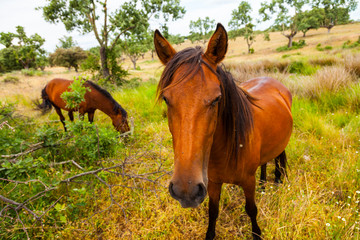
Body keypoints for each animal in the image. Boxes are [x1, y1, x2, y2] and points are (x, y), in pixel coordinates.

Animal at [154, 23, 292, 240]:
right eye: (167, 99)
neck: (227, 149)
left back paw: (278, 179)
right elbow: (213, 211)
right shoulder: (213, 183)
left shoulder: (248, 181)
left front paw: (257, 233)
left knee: (280, 156)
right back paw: (264, 183)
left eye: (217, 99)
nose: (186, 190)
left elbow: (251, 210)